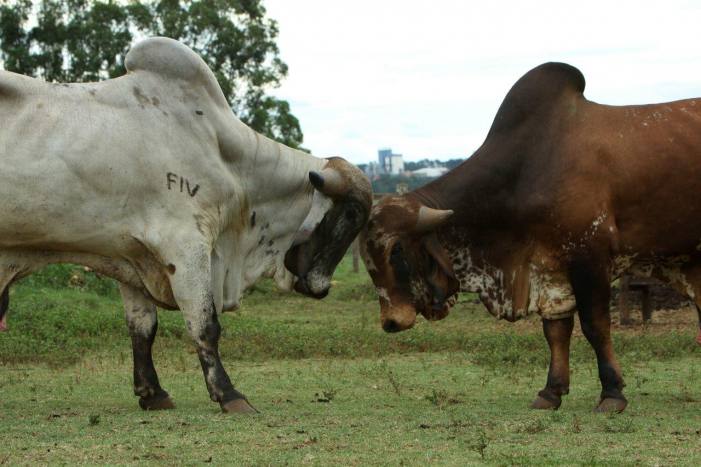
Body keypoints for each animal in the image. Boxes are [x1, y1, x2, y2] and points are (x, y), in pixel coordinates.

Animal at [0, 38, 372, 414]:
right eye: (352, 213)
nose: (320, 288)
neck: (228, 159)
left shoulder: (130, 254)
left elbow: (143, 327)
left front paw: (152, 392)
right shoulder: (185, 246)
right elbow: (205, 324)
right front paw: (230, 394)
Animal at [360, 62, 700, 414]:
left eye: (396, 251)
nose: (391, 321)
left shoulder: (590, 258)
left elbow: (595, 326)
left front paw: (612, 393)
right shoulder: (547, 266)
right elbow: (555, 330)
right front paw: (551, 392)